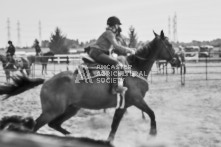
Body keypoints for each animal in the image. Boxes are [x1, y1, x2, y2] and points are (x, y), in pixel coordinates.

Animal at [0, 30, 179, 142]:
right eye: (170, 45)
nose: (177, 61)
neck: (134, 68)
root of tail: (47, 81)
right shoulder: (136, 100)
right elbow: (152, 114)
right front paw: (152, 135)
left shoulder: (123, 105)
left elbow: (114, 126)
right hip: (52, 111)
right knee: (36, 126)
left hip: (71, 109)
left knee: (54, 124)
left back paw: (73, 135)